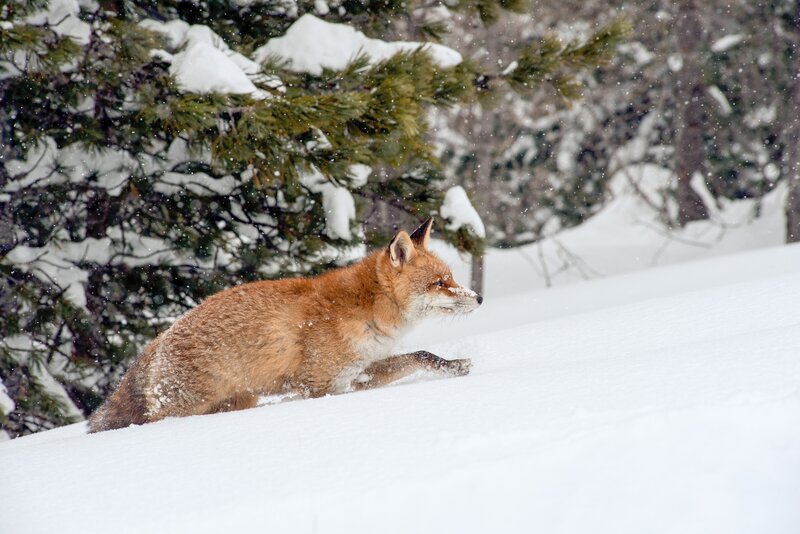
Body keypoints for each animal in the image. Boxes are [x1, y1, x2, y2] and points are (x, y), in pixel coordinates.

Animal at [87, 217, 482, 433]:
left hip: (239, 400)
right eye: (439, 283)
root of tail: (160, 337)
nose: (478, 298)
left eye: (450, 277)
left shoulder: (359, 373)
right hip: (184, 407)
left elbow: (422, 355)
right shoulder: (320, 386)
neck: (365, 311)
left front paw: (454, 367)